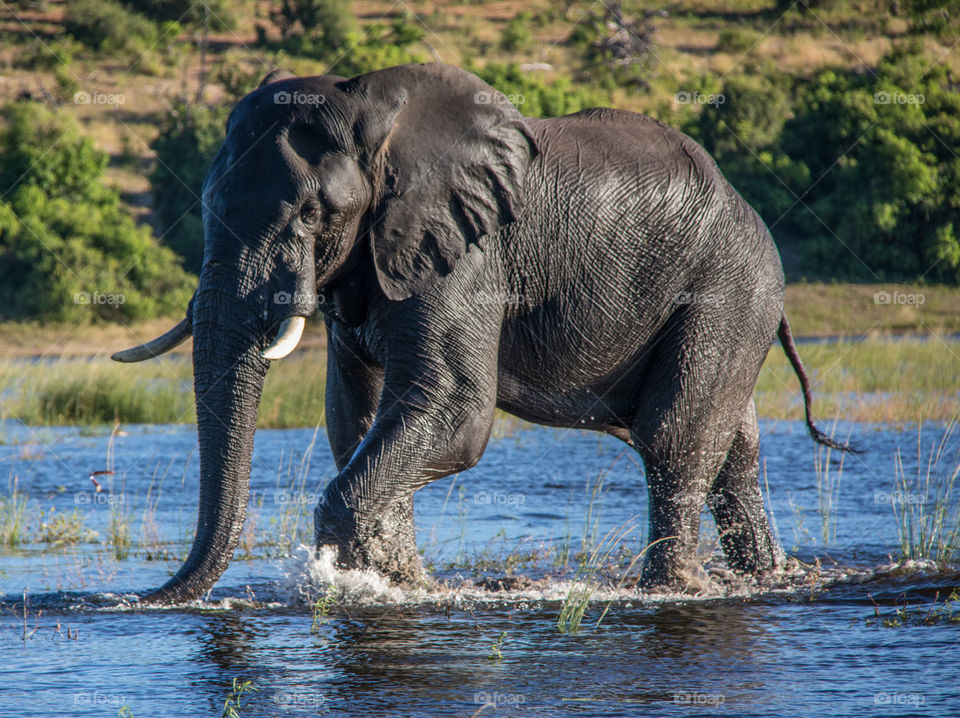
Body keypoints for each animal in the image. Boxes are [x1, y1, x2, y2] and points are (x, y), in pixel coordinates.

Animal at [114, 63, 852, 603]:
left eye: (310, 214)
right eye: (205, 206)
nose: (144, 601)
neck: (372, 115)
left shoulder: (468, 252)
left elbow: (453, 411)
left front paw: (357, 585)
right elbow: (356, 418)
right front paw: (402, 584)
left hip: (730, 286)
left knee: (674, 435)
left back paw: (676, 590)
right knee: (736, 446)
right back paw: (763, 579)